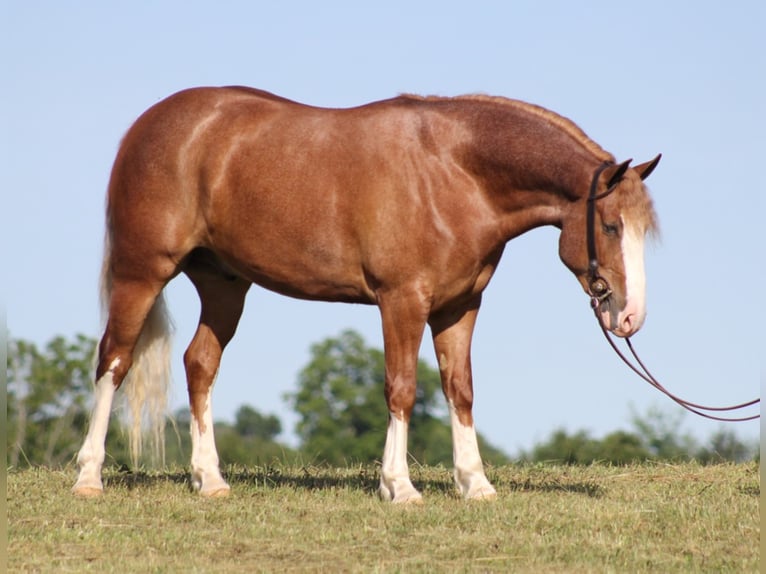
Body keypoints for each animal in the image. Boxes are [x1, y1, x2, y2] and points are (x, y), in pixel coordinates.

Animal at [72, 86, 660, 504]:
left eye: (642, 231)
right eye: (610, 226)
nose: (630, 317)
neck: (454, 173)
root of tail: (149, 125)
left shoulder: (459, 307)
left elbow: (461, 390)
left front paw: (475, 483)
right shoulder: (402, 302)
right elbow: (401, 389)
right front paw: (398, 487)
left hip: (224, 285)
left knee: (200, 364)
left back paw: (209, 479)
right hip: (141, 274)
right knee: (114, 360)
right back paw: (89, 476)